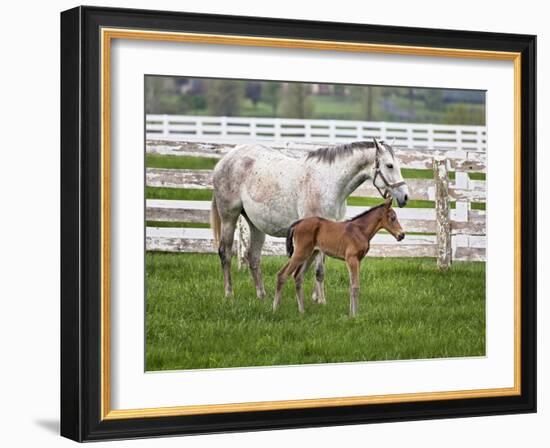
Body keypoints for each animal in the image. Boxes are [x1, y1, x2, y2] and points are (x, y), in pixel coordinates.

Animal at [211, 137, 410, 300]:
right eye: (389, 165)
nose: (405, 196)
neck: (329, 183)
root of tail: (225, 160)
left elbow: (320, 268)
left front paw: (316, 297)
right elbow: (319, 269)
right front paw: (321, 300)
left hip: (255, 225)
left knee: (253, 257)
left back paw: (262, 295)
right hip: (229, 217)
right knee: (225, 253)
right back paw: (229, 293)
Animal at [274, 198, 406, 316]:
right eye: (392, 218)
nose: (402, 235)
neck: (360, 230)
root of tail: (298, 223)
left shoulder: (358, 260)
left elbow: (351, 285)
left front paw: (351, 313)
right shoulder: (351, 259)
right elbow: (355, 286)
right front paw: (354, 315)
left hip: (310, 254)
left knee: (297, 276)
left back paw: (302, 311)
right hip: (301, 253)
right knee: (282, 274)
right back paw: (275, 309)